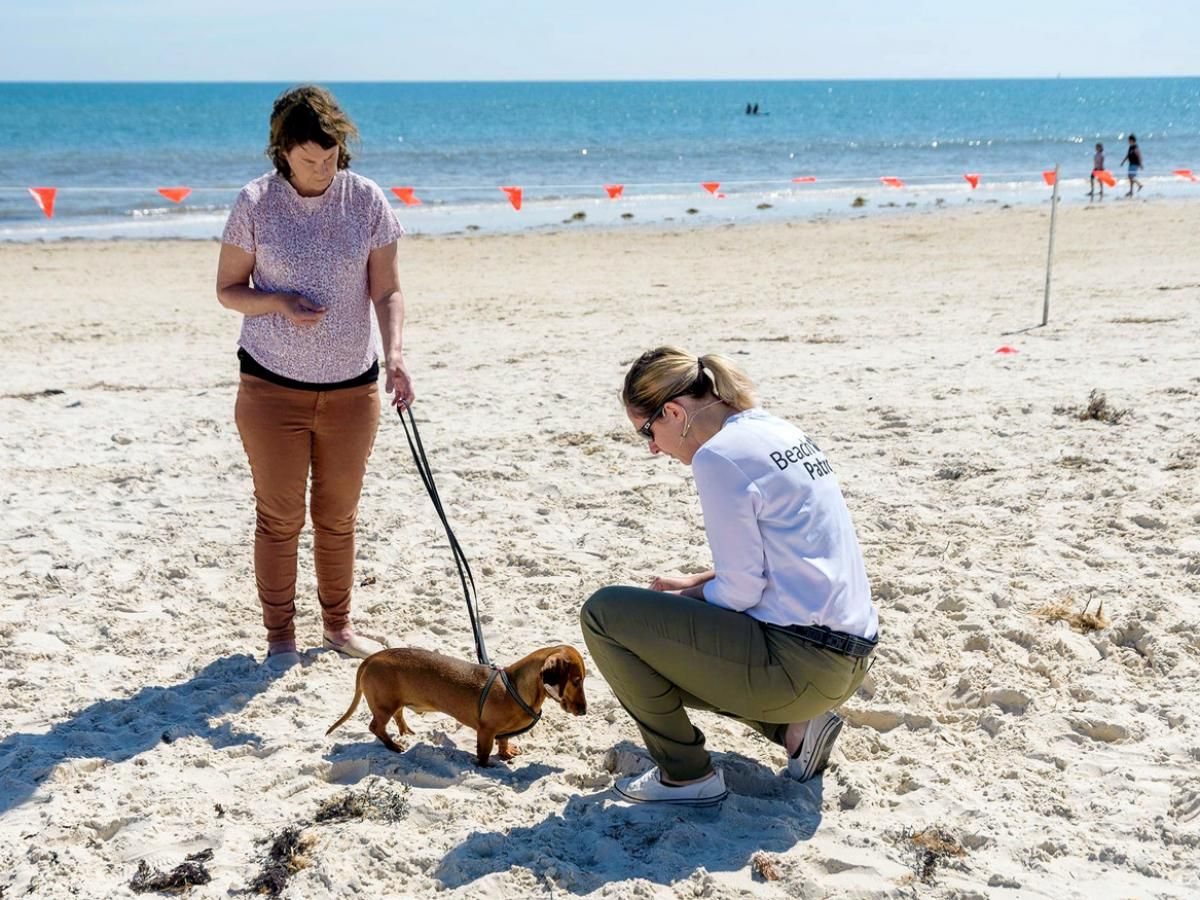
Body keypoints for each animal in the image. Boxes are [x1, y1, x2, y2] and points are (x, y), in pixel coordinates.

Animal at [324, 643, 585, 763]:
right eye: (576, 680)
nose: (583, 711)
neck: (514, 686)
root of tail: (370, 658)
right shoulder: (486, 730)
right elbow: (484, 752)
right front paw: (486, 766)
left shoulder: (501, 732)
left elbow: (504, 740)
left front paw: (506, 752)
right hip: (384, 706)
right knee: (375, 727)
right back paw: (393, 746)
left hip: (394, 702)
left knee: (398, 715)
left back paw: (405, 731)